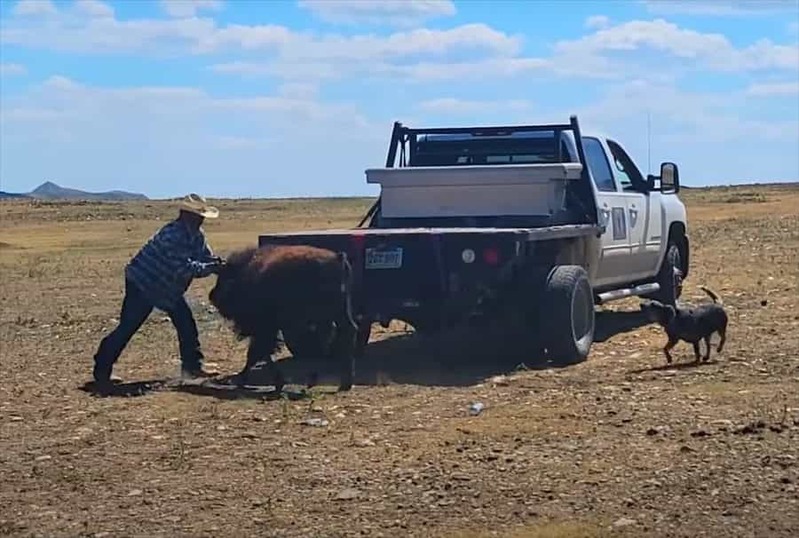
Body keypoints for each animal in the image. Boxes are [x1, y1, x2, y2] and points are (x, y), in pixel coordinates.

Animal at [208, 243, 358, 390]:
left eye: (223, 278)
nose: (212, 296)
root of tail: (338, 258)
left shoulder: (264, 328)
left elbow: (257, 352)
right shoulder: (267, 329)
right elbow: (261, 353)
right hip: (336, 314)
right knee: (341, 334)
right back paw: (339, 382)